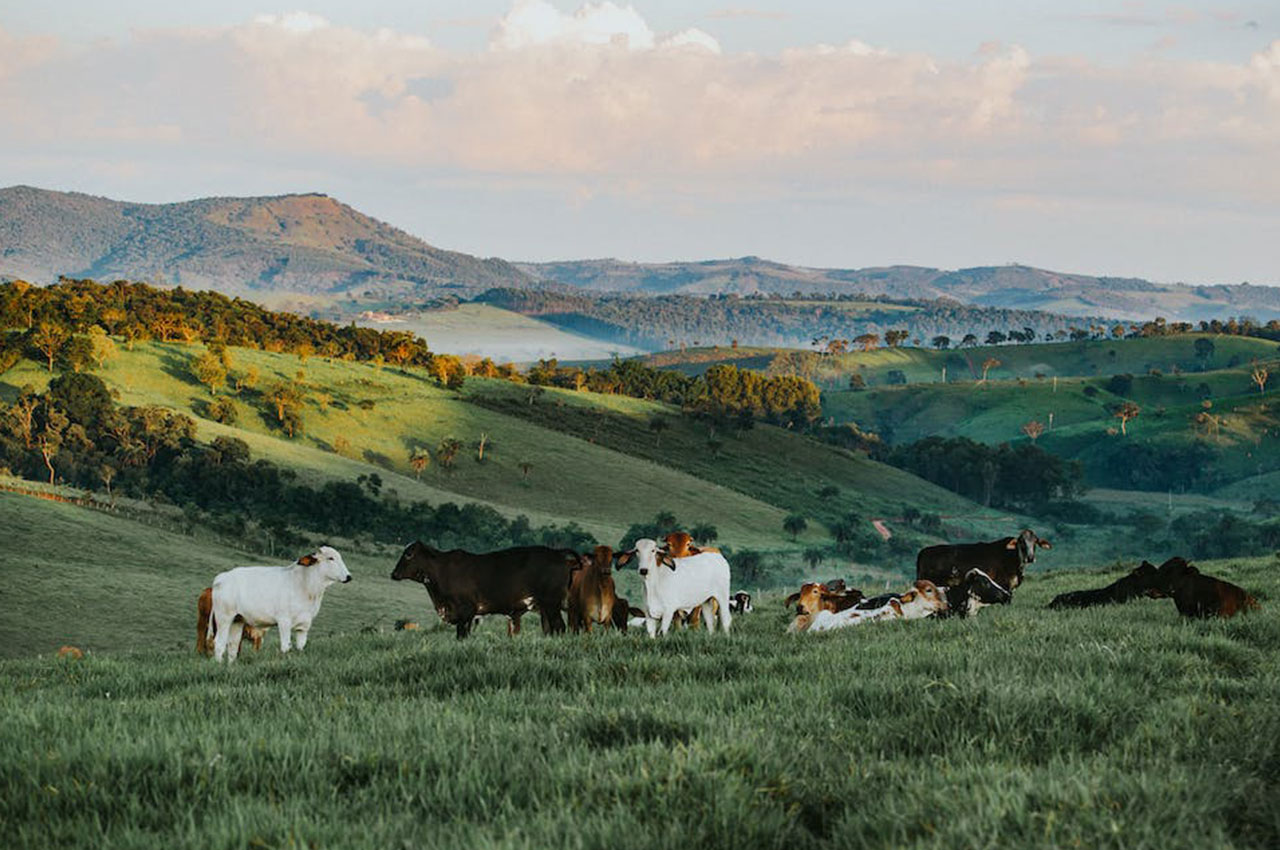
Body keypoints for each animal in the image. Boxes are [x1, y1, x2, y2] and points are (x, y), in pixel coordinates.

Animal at [209, 545, 353, 665]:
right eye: (331, 558)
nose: (348, 576)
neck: (305, 586)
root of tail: (221, 577)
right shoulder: (284, 621)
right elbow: (285, 646)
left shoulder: (304, 625)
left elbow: (300, 647)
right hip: (224, 618)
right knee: (219, 643)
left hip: (237, 620)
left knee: (232, 645)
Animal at [381, 545, 578, 637]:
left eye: (409, 554)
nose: (393, 573)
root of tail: (557, 554)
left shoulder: (465, 611)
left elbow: (461, 634)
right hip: (546, 607)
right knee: (550, 629)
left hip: (551, 604)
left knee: (559, 627)